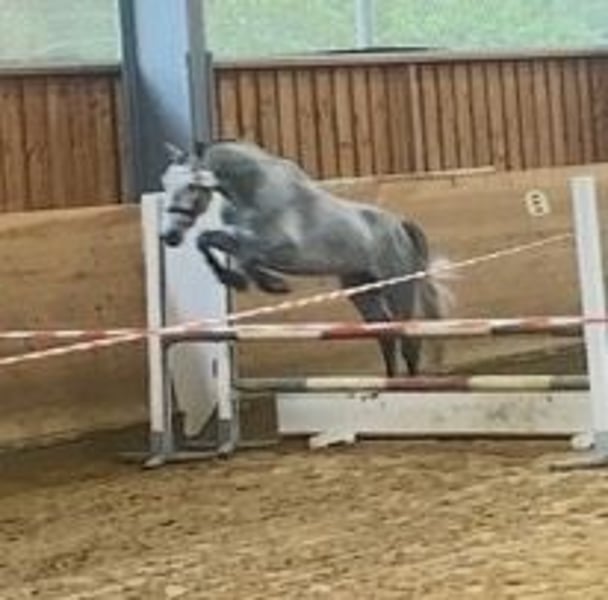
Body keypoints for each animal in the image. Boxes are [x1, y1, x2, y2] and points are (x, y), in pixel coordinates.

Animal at [159, 139, 453, 377]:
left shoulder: (280, 247)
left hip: (397, 286)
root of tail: (400, 224)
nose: (169, 236)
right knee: (385, 333)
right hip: (361, 290)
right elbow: (207, 240)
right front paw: (233, 278)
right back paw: (390, 383)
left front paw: (270, 284)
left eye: (191, 185)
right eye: (164, 184)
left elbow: (246, 255)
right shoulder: (238, 236)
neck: (252, 189)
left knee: (409, 337)